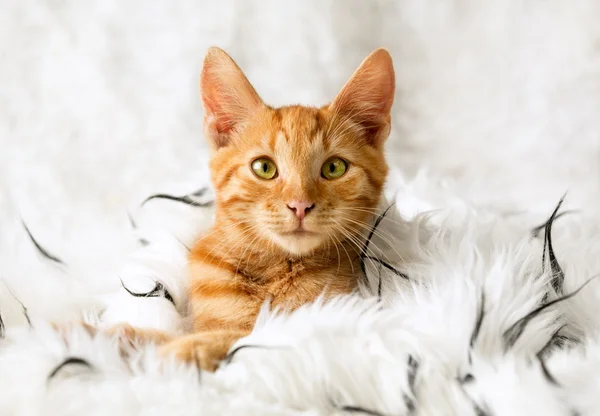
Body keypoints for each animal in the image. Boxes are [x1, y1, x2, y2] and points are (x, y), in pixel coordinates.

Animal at [106, 46, 394, 370]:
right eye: (264, 168)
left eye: (334, 167)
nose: (300, 205)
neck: (273, 270)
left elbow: (244, 337)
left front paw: (183, 349)